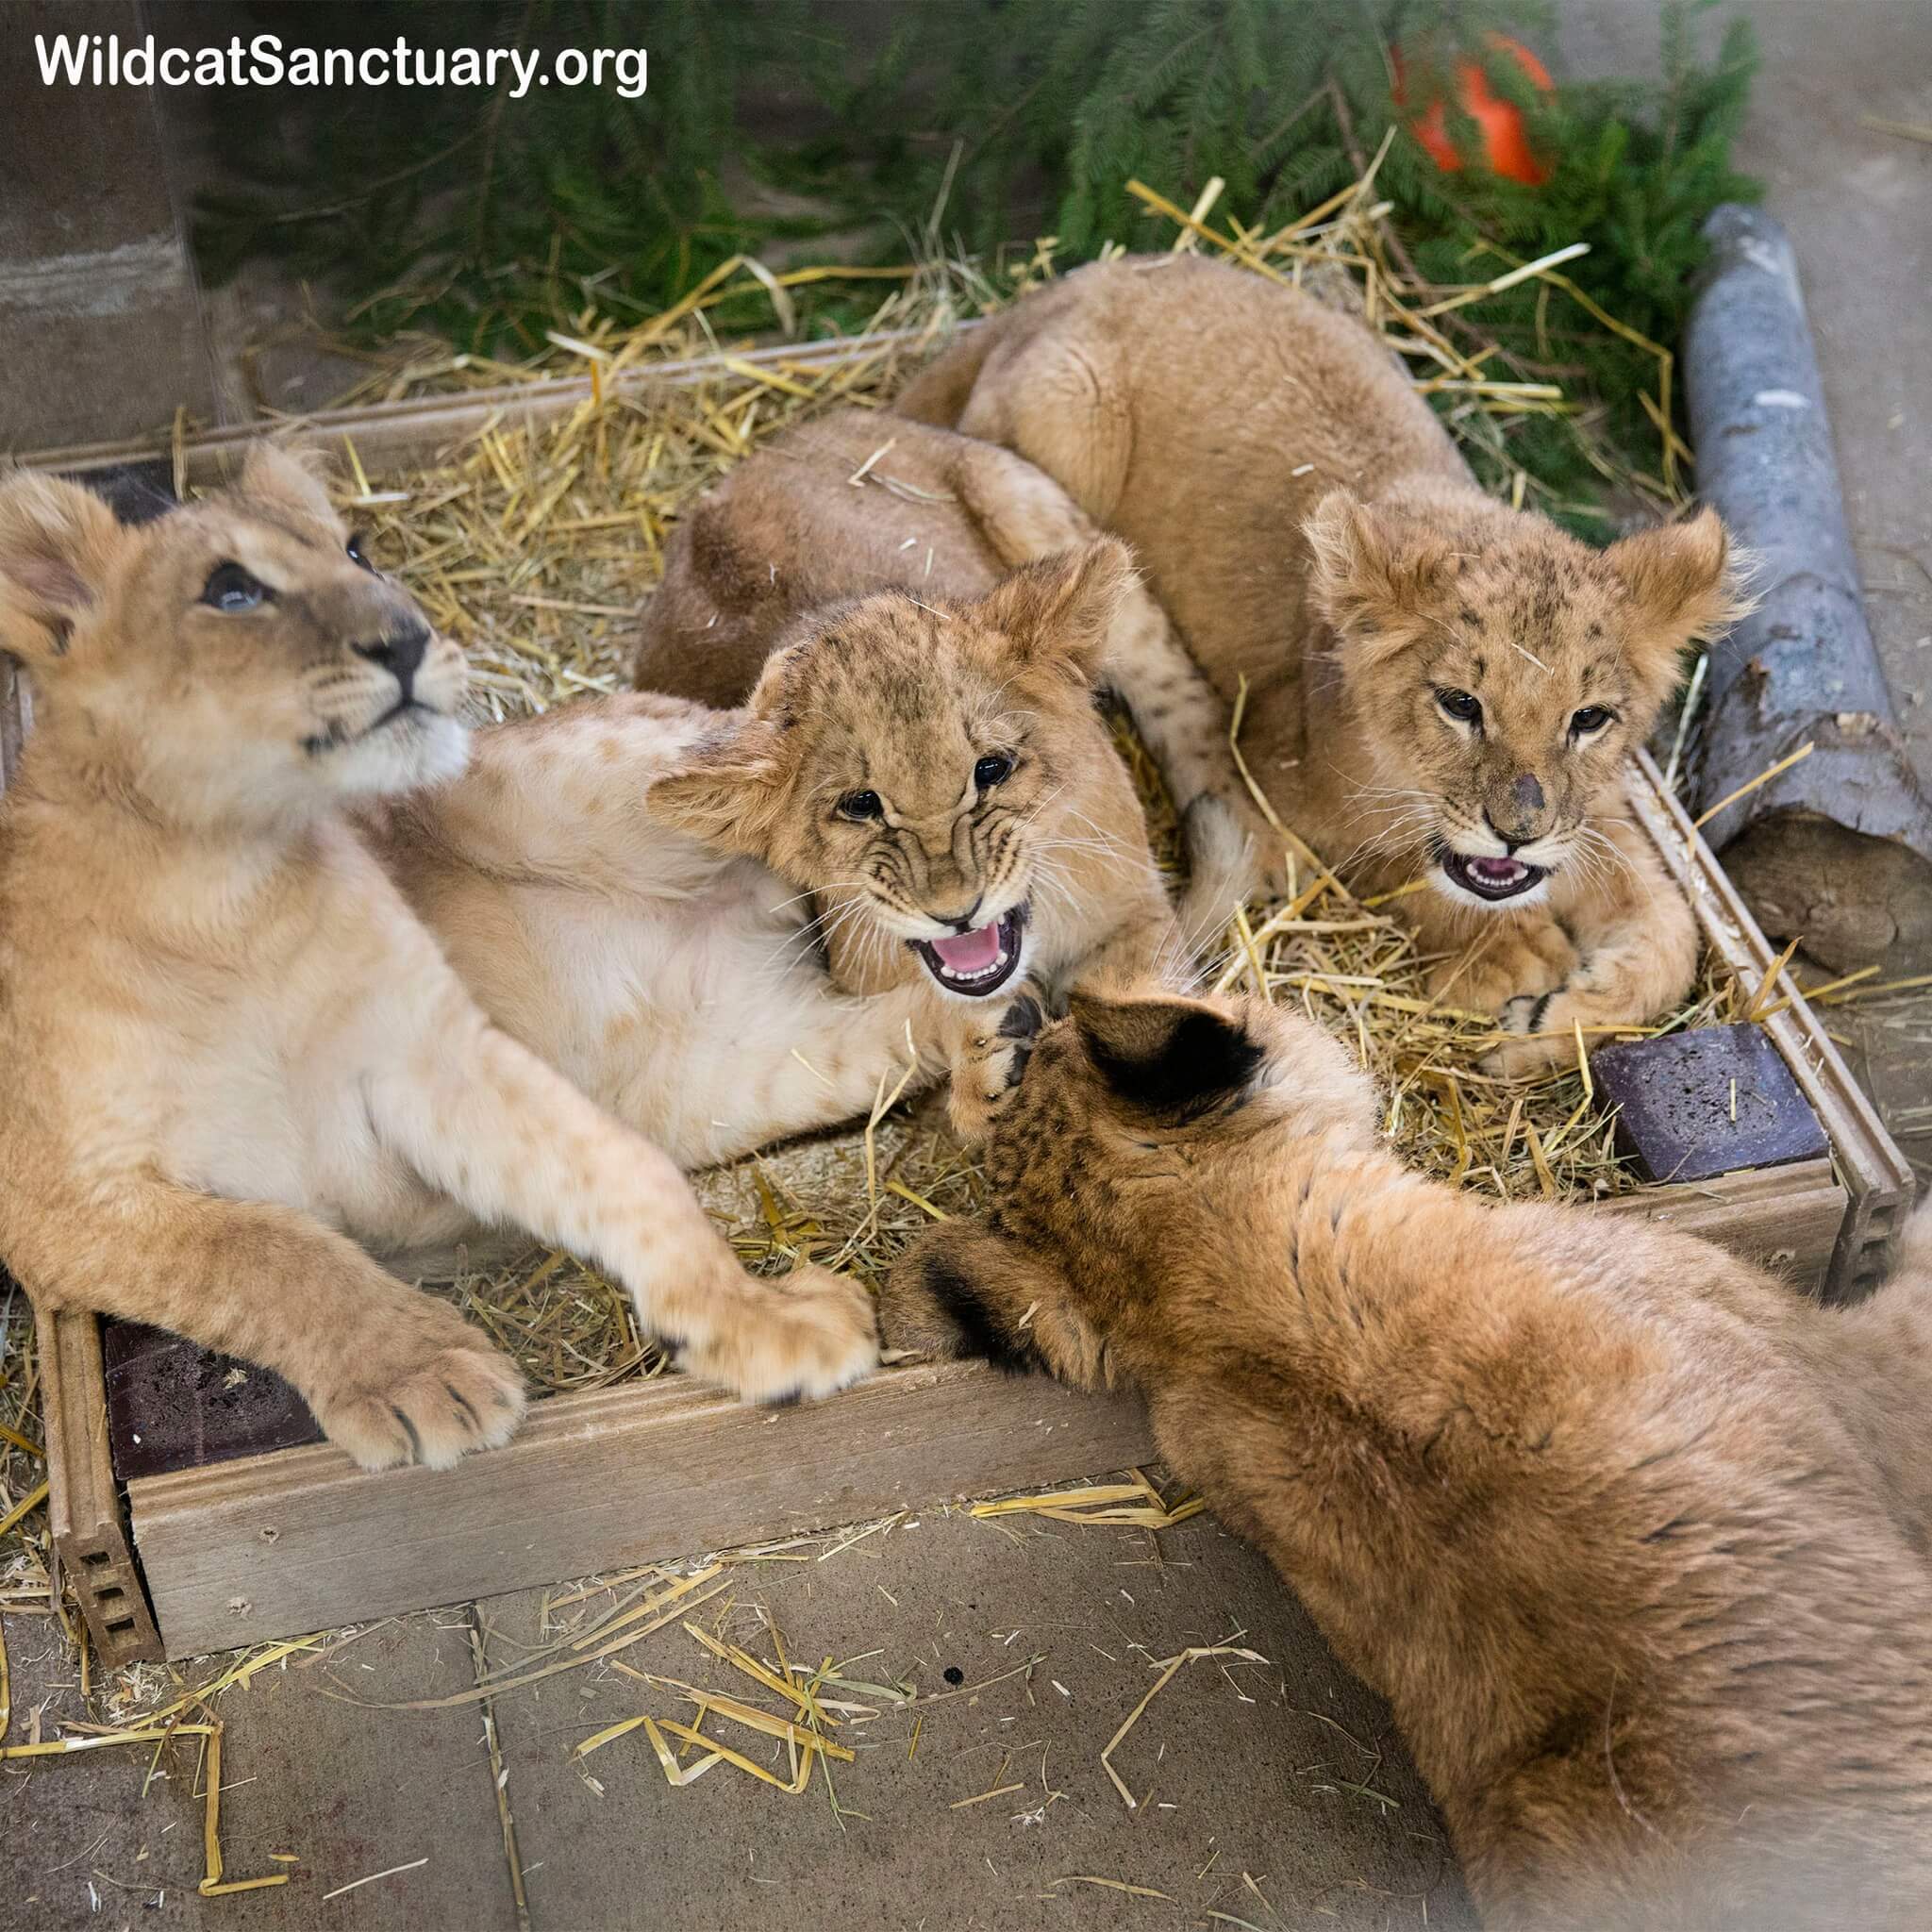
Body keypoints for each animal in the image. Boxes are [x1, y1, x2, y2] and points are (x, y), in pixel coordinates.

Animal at [0, 446, 878, 1472]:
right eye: (230, 590)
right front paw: (421, 1375)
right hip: (737, 1073)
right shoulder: (56, 1203)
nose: (408, 638)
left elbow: (618, 1168)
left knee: (777, 773)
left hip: (570, 778)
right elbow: (262, 1249)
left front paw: (756, 1313)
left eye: (356, 550)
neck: (224, 891)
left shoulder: (428, 1052)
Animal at [895, 257, 1747, 1073]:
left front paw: (1550, 1022)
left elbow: (1674, 927)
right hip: (1067, 415)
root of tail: (1041, 296)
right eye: (1460, 705)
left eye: (1590, 719)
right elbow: (1394, 859)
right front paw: (1505, 956)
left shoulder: (1597, 811)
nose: (1515, 836)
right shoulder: (1274, 771)